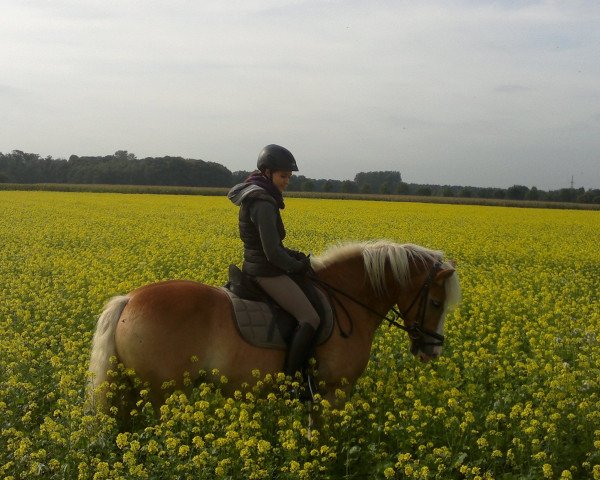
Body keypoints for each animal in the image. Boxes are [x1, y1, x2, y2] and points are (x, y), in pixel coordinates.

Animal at [85, 240, 460, 412]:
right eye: (436, 303)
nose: (433, 350)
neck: (346, 299)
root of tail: (129, 299)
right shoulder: (334, 391)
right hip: (162, 392)